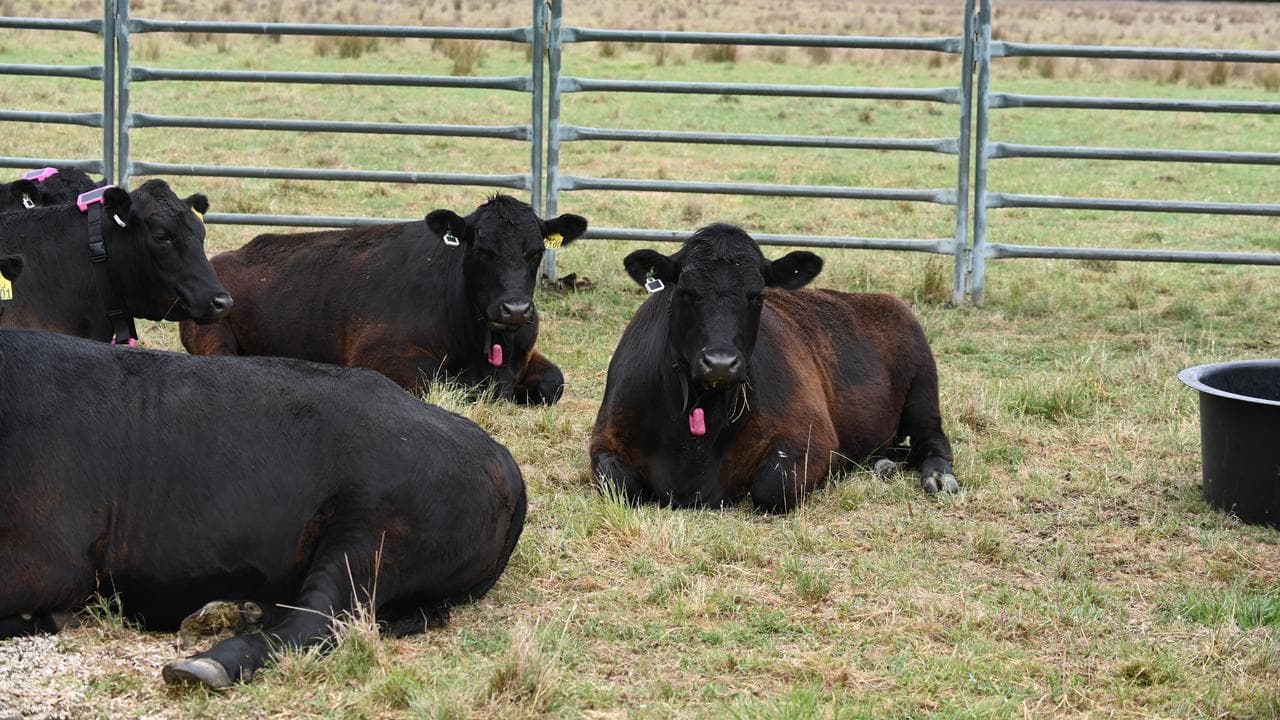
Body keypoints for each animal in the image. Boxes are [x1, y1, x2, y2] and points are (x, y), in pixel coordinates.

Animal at [0, 326, 527, 690]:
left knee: (319, 621)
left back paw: (209, 661)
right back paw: (235, 611)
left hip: (372, 532)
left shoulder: (50, 559)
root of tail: (500, 456)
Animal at [180, 194, 587, 403]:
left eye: (536, 252)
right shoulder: (380, 357)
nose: (515, 309)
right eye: (481, 250)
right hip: (212, 335)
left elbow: (554, 381)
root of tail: (227, 255)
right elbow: (434, 383)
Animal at [589, 223, 958, 513]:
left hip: (924, 390)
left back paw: (939, 476)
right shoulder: (604, 440)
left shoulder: (813, 437)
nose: (720, 363)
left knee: (932, 441)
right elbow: (620, 485)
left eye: (757, 295)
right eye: (686, 291)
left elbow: (772, 487)